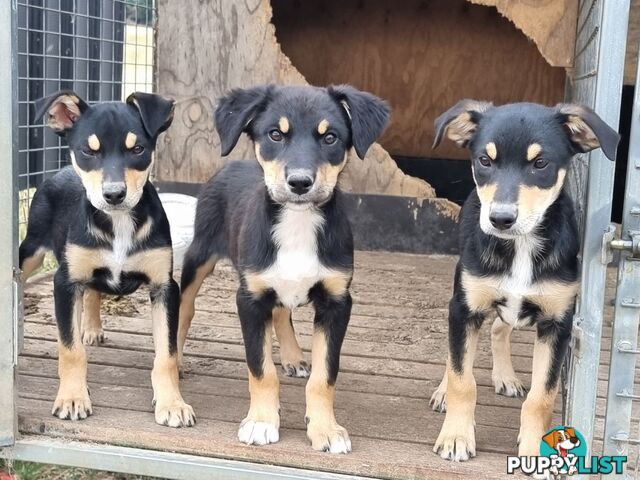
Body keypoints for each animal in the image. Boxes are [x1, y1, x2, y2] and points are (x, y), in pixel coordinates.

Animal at [20, 90, 195, 428]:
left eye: (138, 149)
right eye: (88, 151)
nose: (114, 195)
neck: (119, 223)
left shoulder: (165, 288)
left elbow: (166, 354)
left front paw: (172, 403)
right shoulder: (65, 281)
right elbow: (70, 349)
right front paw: (72, 398)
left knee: (93, 292)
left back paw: (91, 328)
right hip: (31, 250)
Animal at [179, 84, 390, 452]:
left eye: (330, 137)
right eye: (275, 134)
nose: (300, 182)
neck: (297, 222)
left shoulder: (337, 301)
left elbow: (324, 375)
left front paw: (325, 428)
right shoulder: (250, 299)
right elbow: (261, 369)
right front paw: (262, 422)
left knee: (281, 312)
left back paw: (293, 357)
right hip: (200, 254)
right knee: (185, 307)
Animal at [428, 102, 616, 464]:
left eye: (540, 164)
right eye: (485, 161)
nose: (500, 219)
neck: (521, 245)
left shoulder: (557, 324)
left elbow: (542, 397)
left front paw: (535, 448)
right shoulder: (465, 308)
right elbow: (462, 378)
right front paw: (456, 436)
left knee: (499, 328)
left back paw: (505, 376)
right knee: (458, 354)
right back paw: (444, 391)